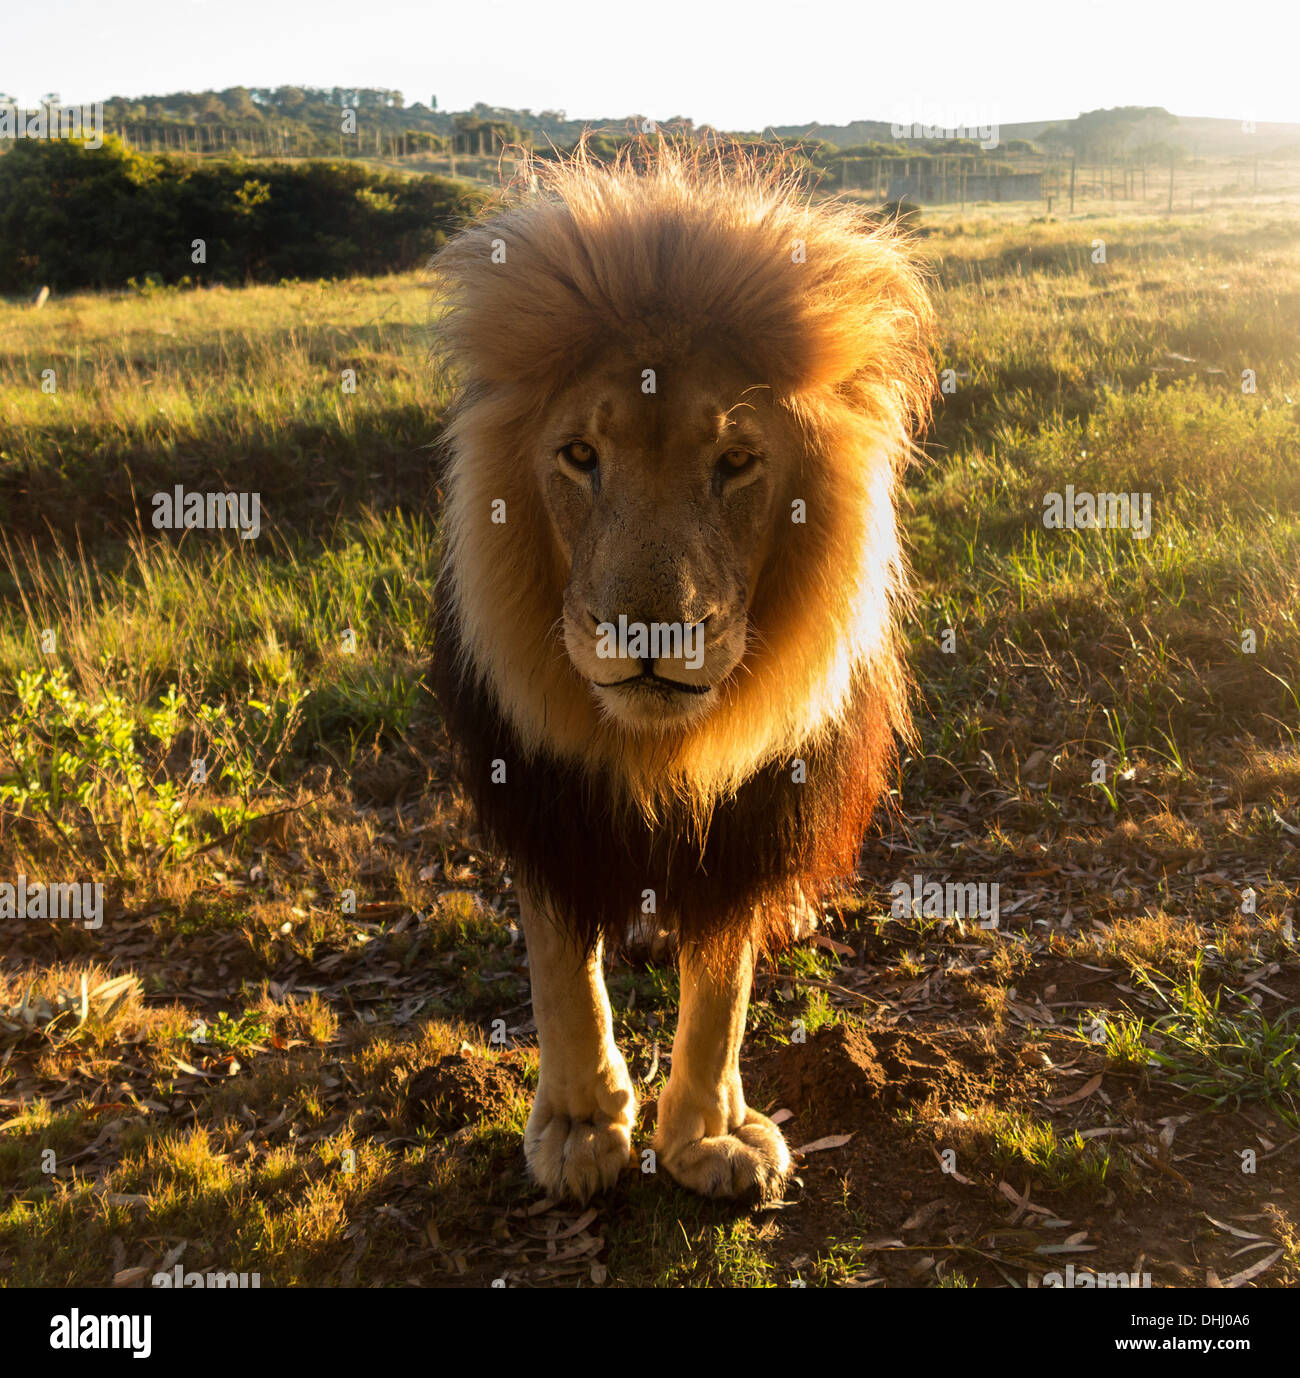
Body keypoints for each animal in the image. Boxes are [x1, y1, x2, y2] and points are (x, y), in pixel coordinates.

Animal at [432, 142, 931, 1207]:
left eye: (737, 461)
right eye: (580, 455)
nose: (649, 633)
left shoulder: (757, 805)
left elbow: (724, 984)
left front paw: (710, 1136)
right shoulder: (541, 788)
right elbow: (561, 971)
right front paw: (581, 1125)